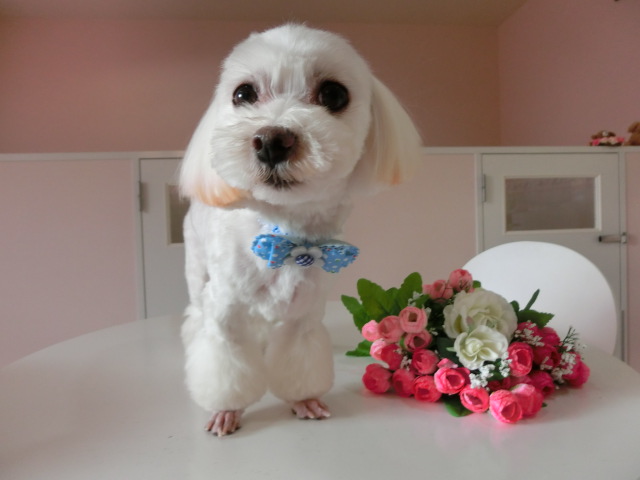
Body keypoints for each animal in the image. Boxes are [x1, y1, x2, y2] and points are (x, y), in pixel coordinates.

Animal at [179, 23, 422, 436]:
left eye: (334, 94)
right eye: (243, 93)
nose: (272, 141)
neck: (285, 235)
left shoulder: (305, 315)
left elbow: (299, 358)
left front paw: (303, 400)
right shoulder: (225, 315)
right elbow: (225, 364)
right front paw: (227, 409)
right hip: (197, 270)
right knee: (196, 312)